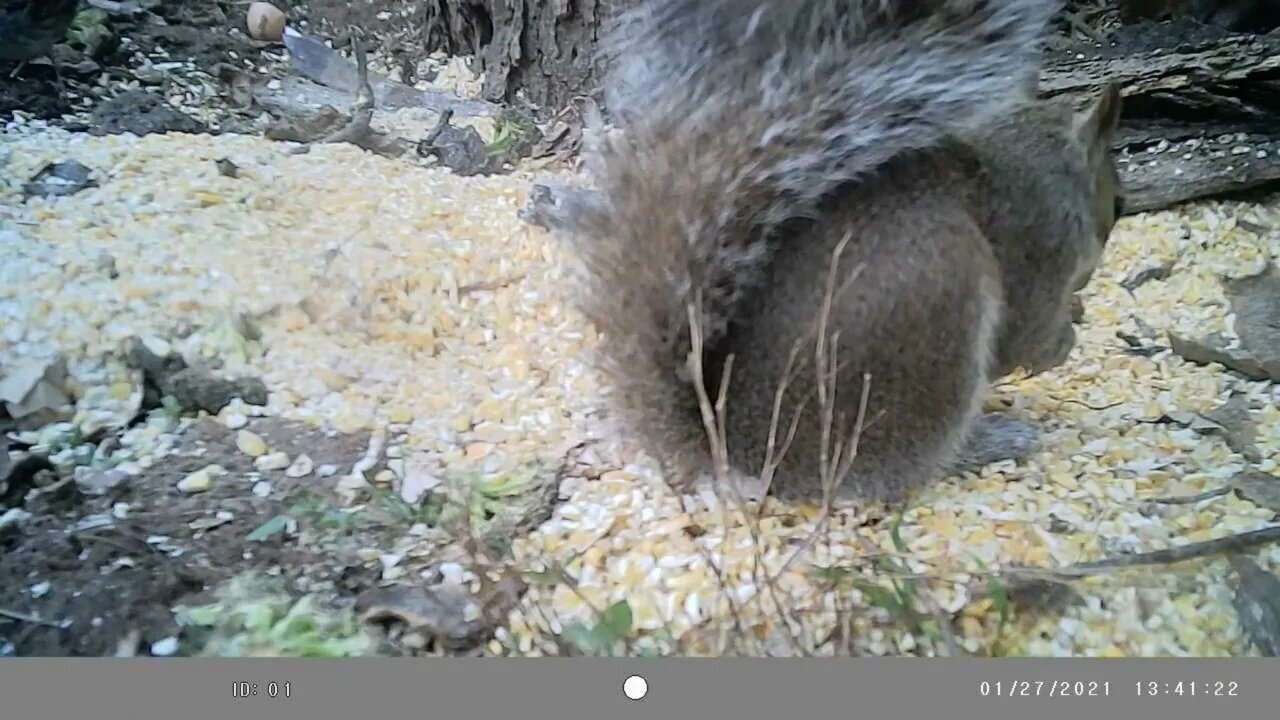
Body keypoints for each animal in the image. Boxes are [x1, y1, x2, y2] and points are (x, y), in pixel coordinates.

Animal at [545, 0, 1126, 504]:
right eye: (1118, 201)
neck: (1033, 155)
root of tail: (740, 455)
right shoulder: (1043, 246)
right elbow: (1024, 338)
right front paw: (1066, 335)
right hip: (939, 301)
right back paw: (994, 441)